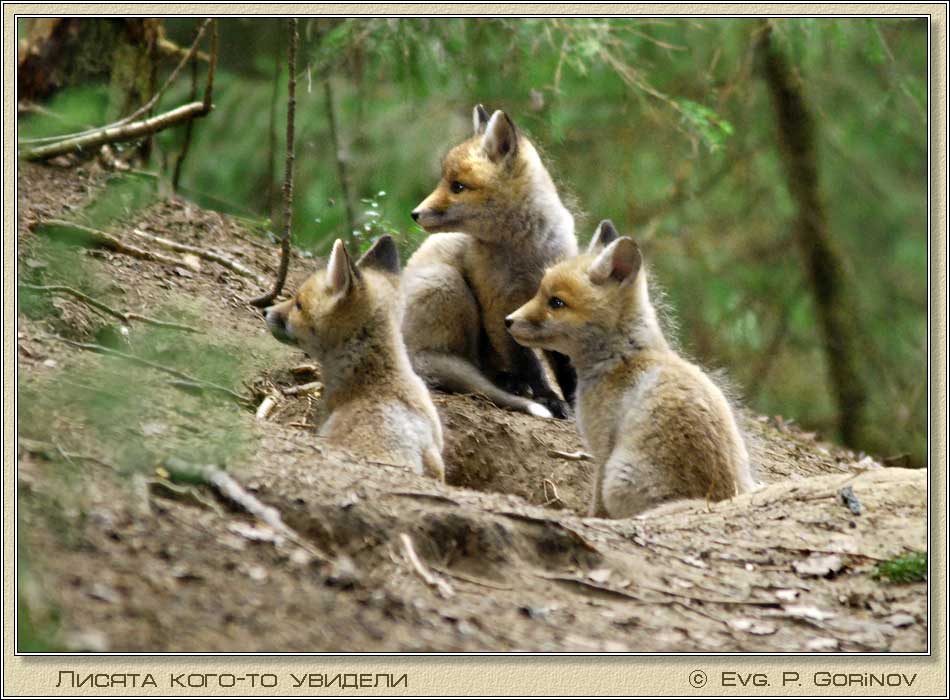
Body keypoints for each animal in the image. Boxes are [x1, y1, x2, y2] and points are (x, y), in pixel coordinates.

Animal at [402, 104, 578, 419]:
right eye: (446, 182)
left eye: (458, 186)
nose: (415, 213)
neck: (526, 255)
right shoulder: (497, 305)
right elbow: (528, 363)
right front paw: (548, 398)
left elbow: (564, 362)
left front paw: (573, 400)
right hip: (446, 283)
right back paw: (506, 382)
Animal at [506, 220, 756, 518]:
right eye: (539, 293)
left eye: (556, 302)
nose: (507, 320)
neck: (625, 357)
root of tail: (713, 500)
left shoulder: (603, 448)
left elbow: (596, 505)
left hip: (618, 476)